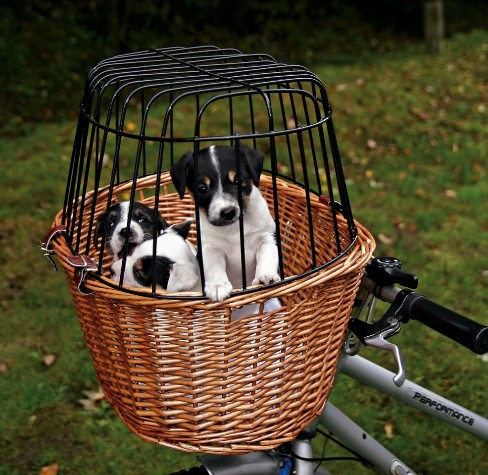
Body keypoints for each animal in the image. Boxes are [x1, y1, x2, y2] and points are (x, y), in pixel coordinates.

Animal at [171, 143, 278, 304]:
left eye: (238, 180)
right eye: (202, 188)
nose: (228, 212)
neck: (234, 228)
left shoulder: (267, 237)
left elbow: (267, 256)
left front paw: (266, 275)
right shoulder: (210, 248)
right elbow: (214, 268)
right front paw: (218, 286)